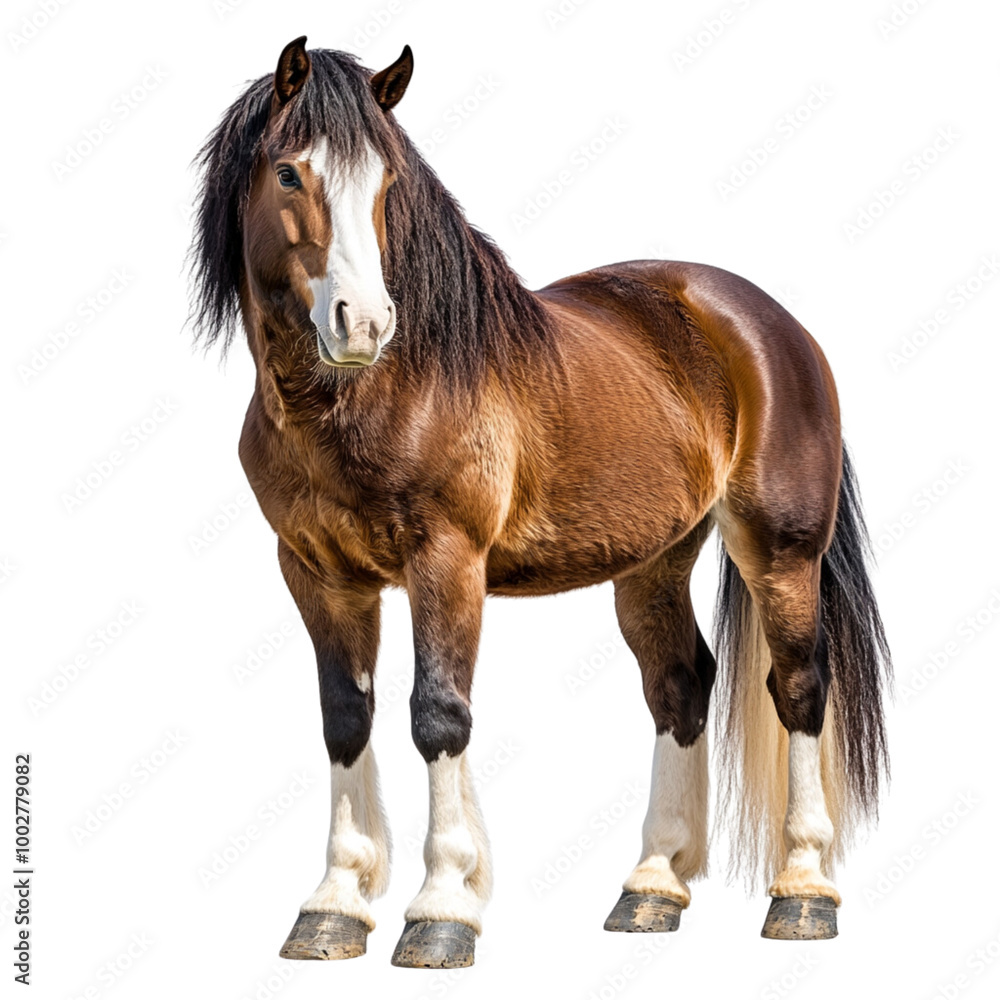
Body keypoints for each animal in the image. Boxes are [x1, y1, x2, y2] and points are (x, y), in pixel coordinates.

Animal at [189, 38, 891, 967]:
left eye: (386, 181)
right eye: (289, 172)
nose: (363, 324)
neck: (378, 393)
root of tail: (773, 325)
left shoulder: (447, 562)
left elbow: (437, 716)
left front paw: (442, 907)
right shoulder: (317, 573)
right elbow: (346, 718)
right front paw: (334, 905)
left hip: (780, 549)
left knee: (802, 686)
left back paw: (804, 891)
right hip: (653, 563)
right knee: (680, 685)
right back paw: (651, 887)